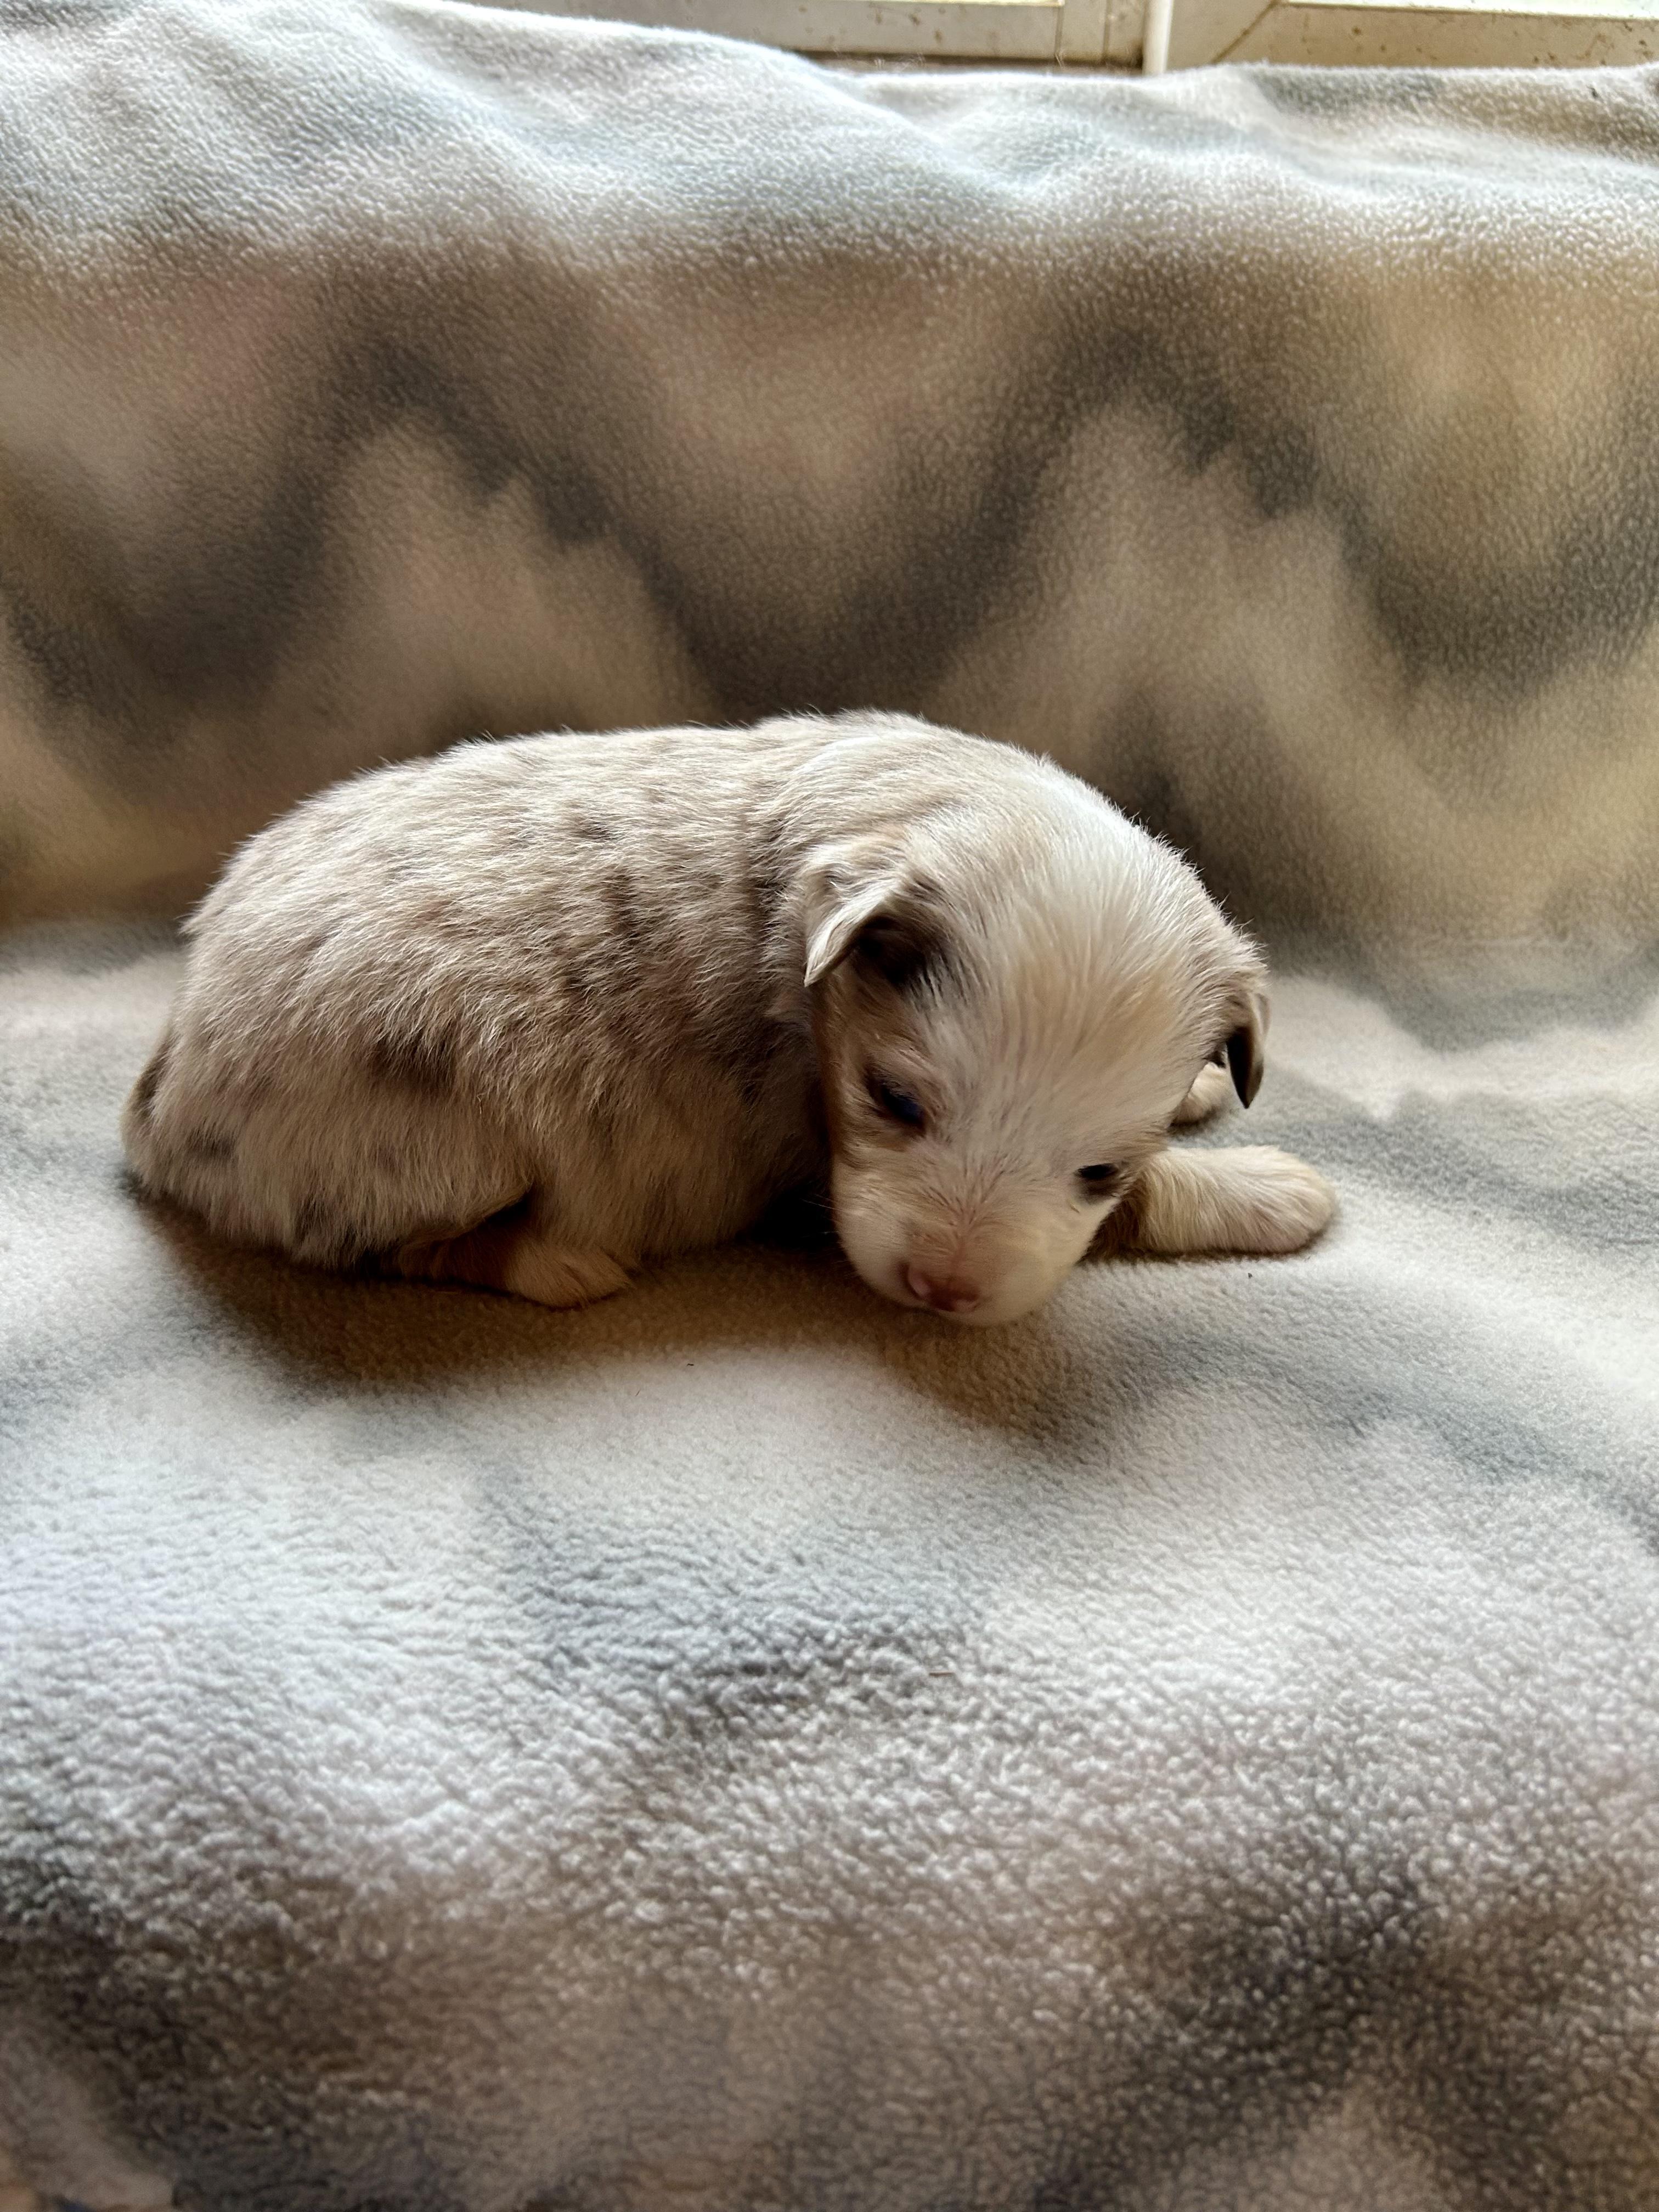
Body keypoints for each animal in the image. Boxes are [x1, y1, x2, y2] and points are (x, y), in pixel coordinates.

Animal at [122, 712, 1335, 1326]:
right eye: (893, 1101)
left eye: (1094, 1168)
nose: (940, 1291)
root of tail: (162, 1094)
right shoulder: (810, 1171)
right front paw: (1274, 1190)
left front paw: (1204, 1089)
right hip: (424, 1140)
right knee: (390, 1248)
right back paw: (555, 1263)